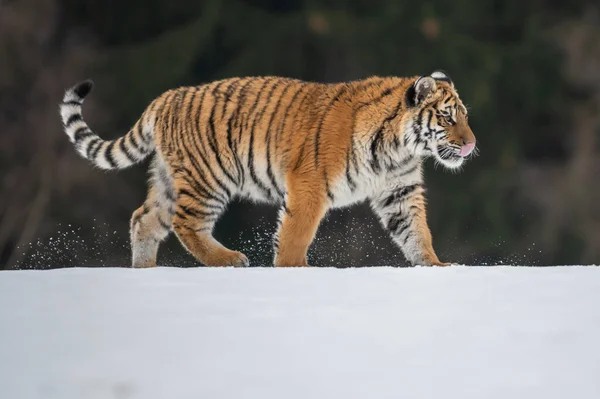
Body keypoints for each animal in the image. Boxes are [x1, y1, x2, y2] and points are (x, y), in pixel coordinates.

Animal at [58, 70, 476, 268]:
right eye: (447, 117)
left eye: (465, 116)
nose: (471, 144)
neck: (398, 149)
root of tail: (165, 98)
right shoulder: (309, 185)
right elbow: (295, 234)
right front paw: (295, 269)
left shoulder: (399, 191)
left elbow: (416, 233)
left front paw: (436, 265)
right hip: (208, 177)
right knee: (185, 223)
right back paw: (230, 259)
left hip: (169, 179)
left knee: (143, 220)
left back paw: (144, 271)